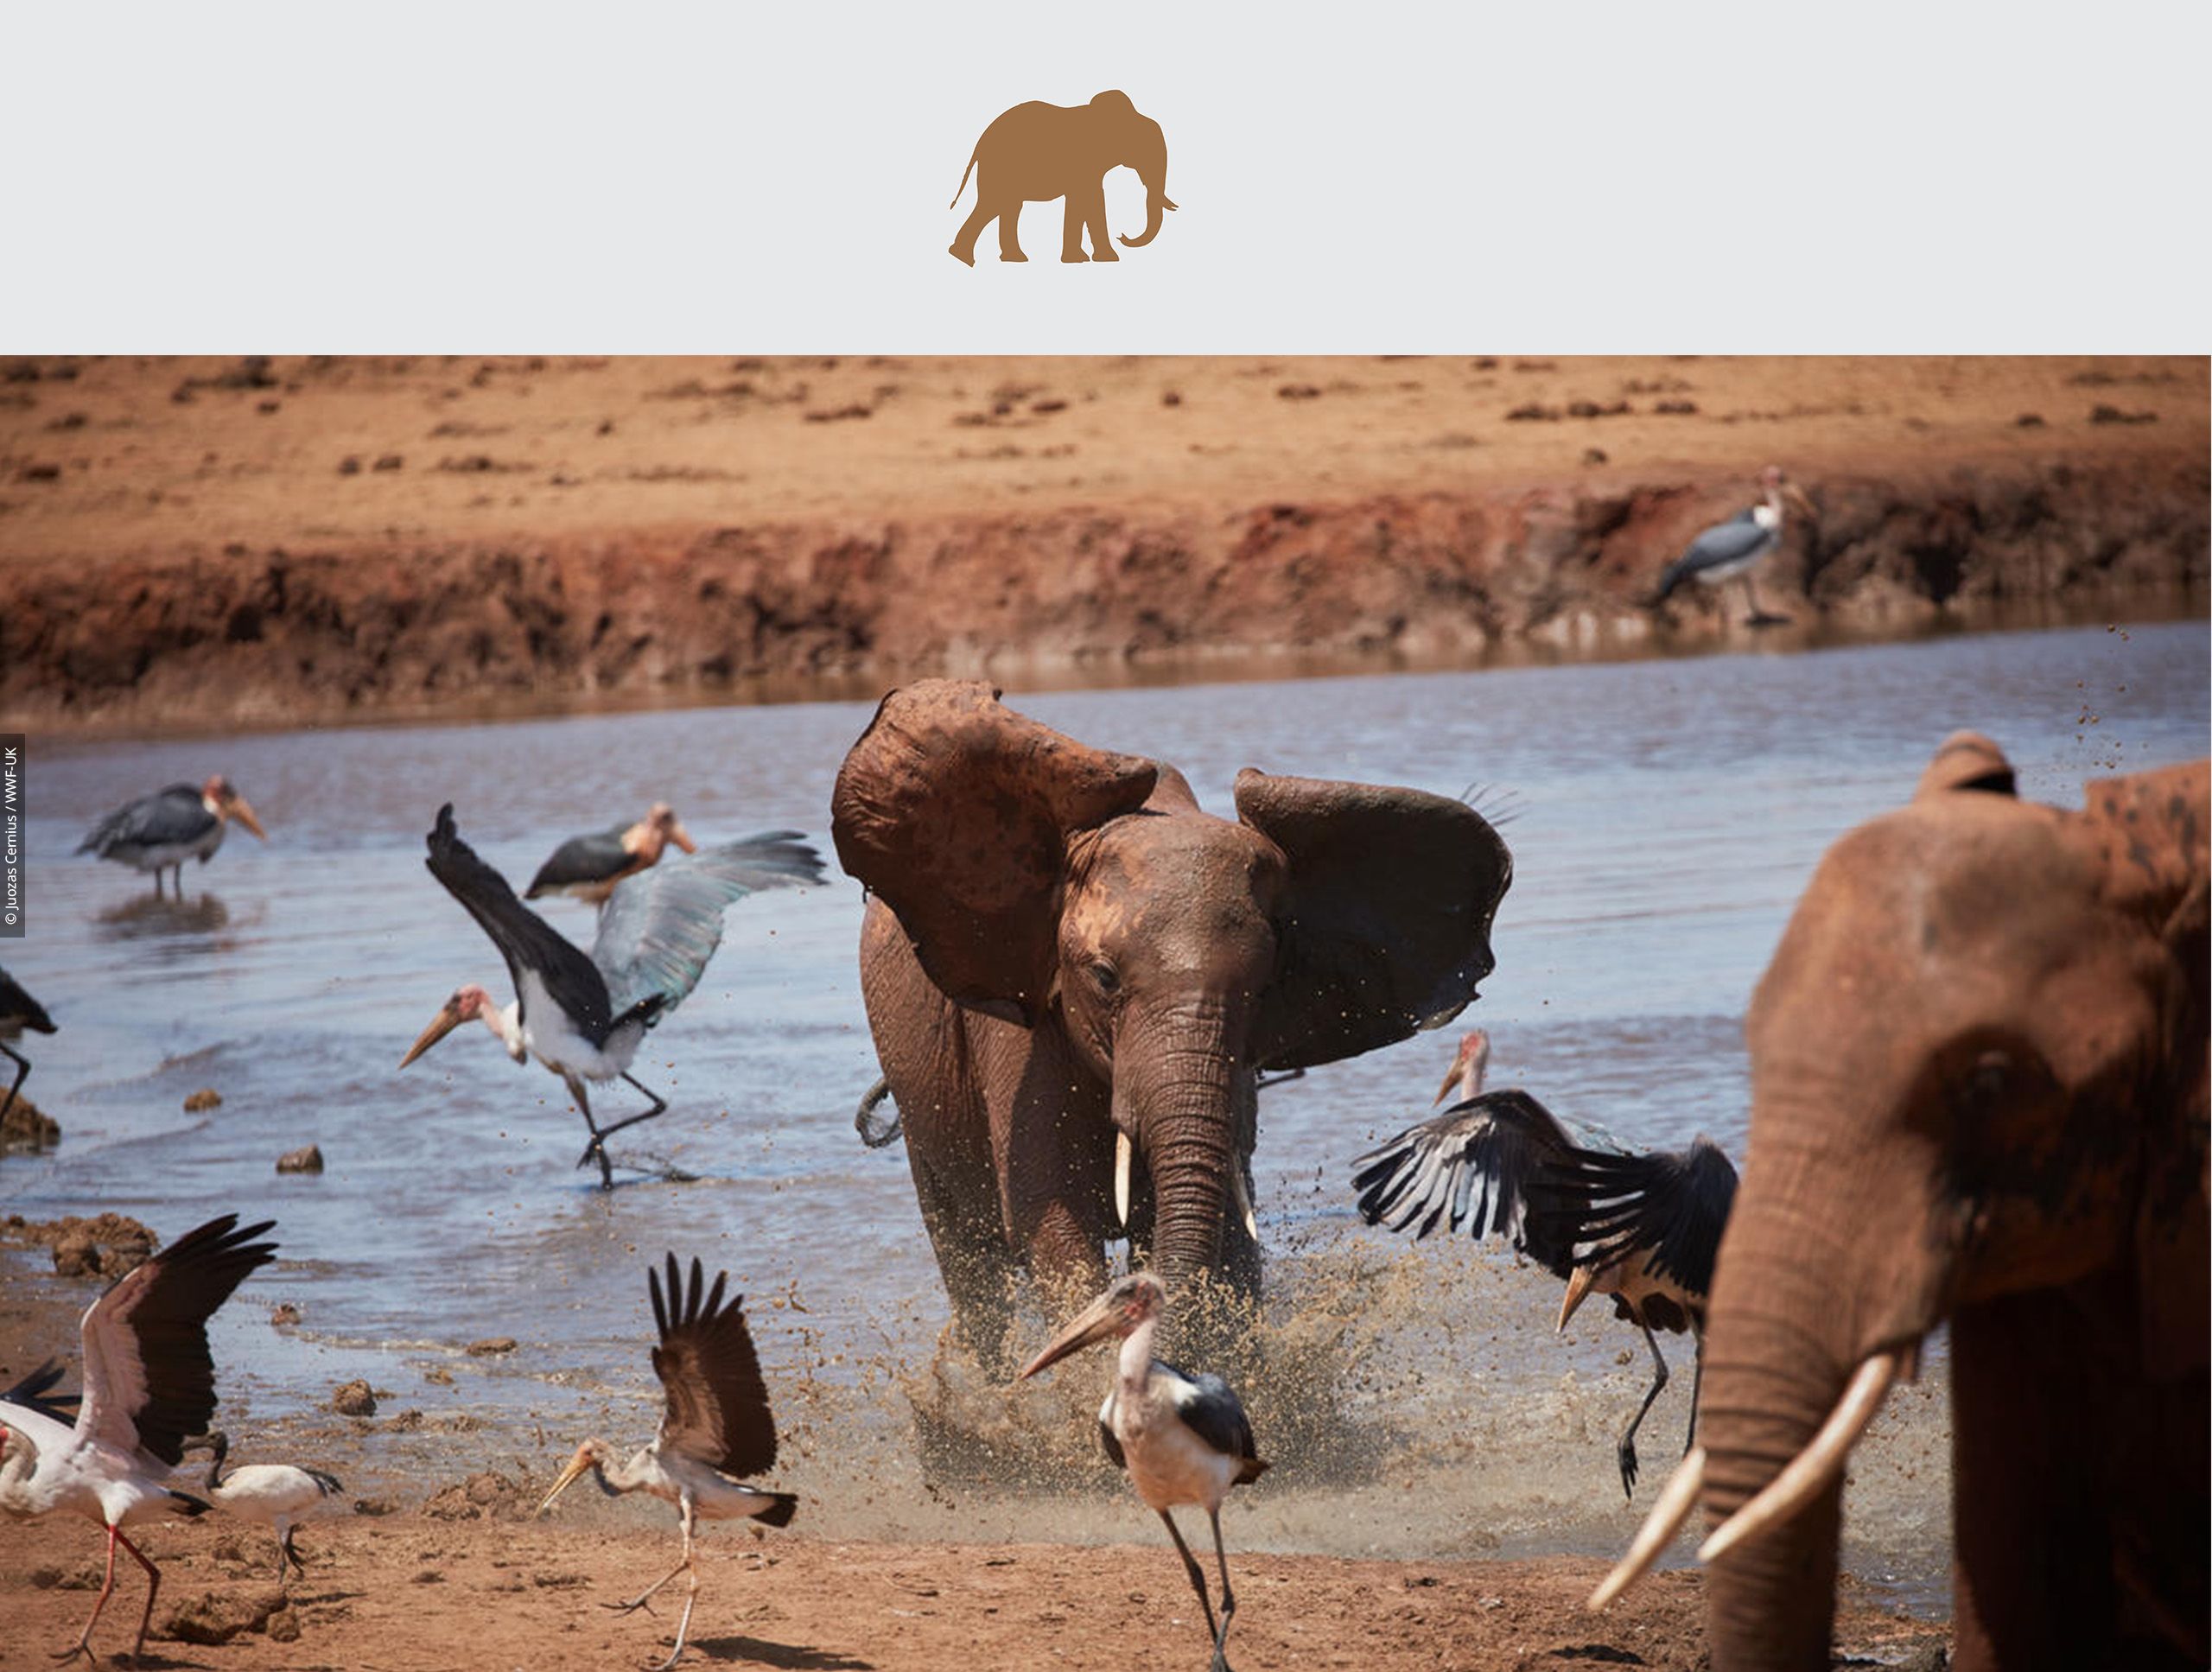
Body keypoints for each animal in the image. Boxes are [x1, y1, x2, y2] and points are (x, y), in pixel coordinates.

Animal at [830, 680, 1513, 1372]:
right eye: (1104, 978)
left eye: (1264, 987)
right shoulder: (1021, 1042)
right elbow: (1053, 1229)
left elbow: (1222, 1230)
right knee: (970, 1269)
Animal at [948, 89, 1175, 266]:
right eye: (1142, 145)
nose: (1122, 235)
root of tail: (980, 142)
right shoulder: (1083, 161)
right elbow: (1090, 199)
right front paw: (1102, 259)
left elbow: (1083, 200)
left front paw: (1083, 259)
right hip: (999, 168)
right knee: (993, 204)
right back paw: (964, 259)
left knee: (1008, 207)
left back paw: (1012, 259)